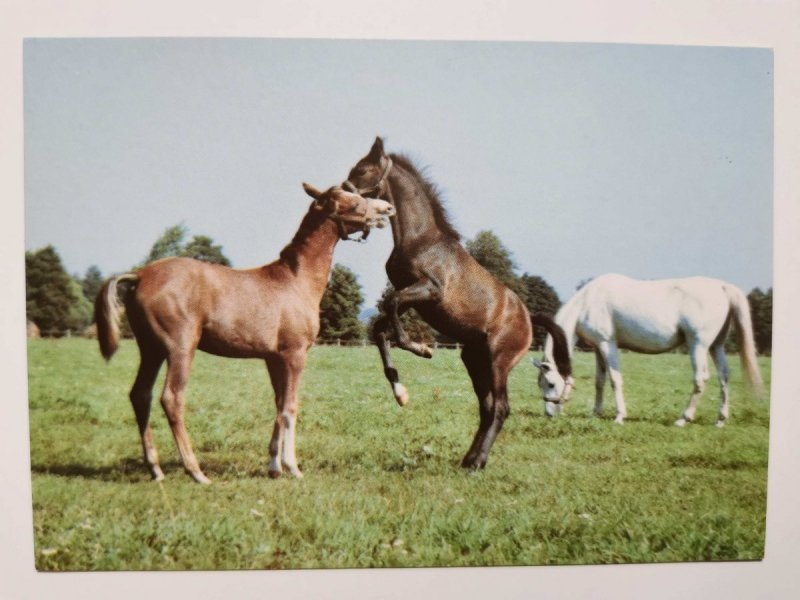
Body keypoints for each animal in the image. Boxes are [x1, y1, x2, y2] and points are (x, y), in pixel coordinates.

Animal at [536, 272, 764, 426]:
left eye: (551, 383)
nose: (548, 413)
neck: (587, 303)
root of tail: (722, 287)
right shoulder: (598, 348)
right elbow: (599, 381)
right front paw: (596, 413)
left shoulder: (608, 344)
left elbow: (615, 379)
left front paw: (619, 416)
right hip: (716, 346)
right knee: (724, 376)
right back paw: (720, 420)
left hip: (698, 345)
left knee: (701, 378)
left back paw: (683, 419)